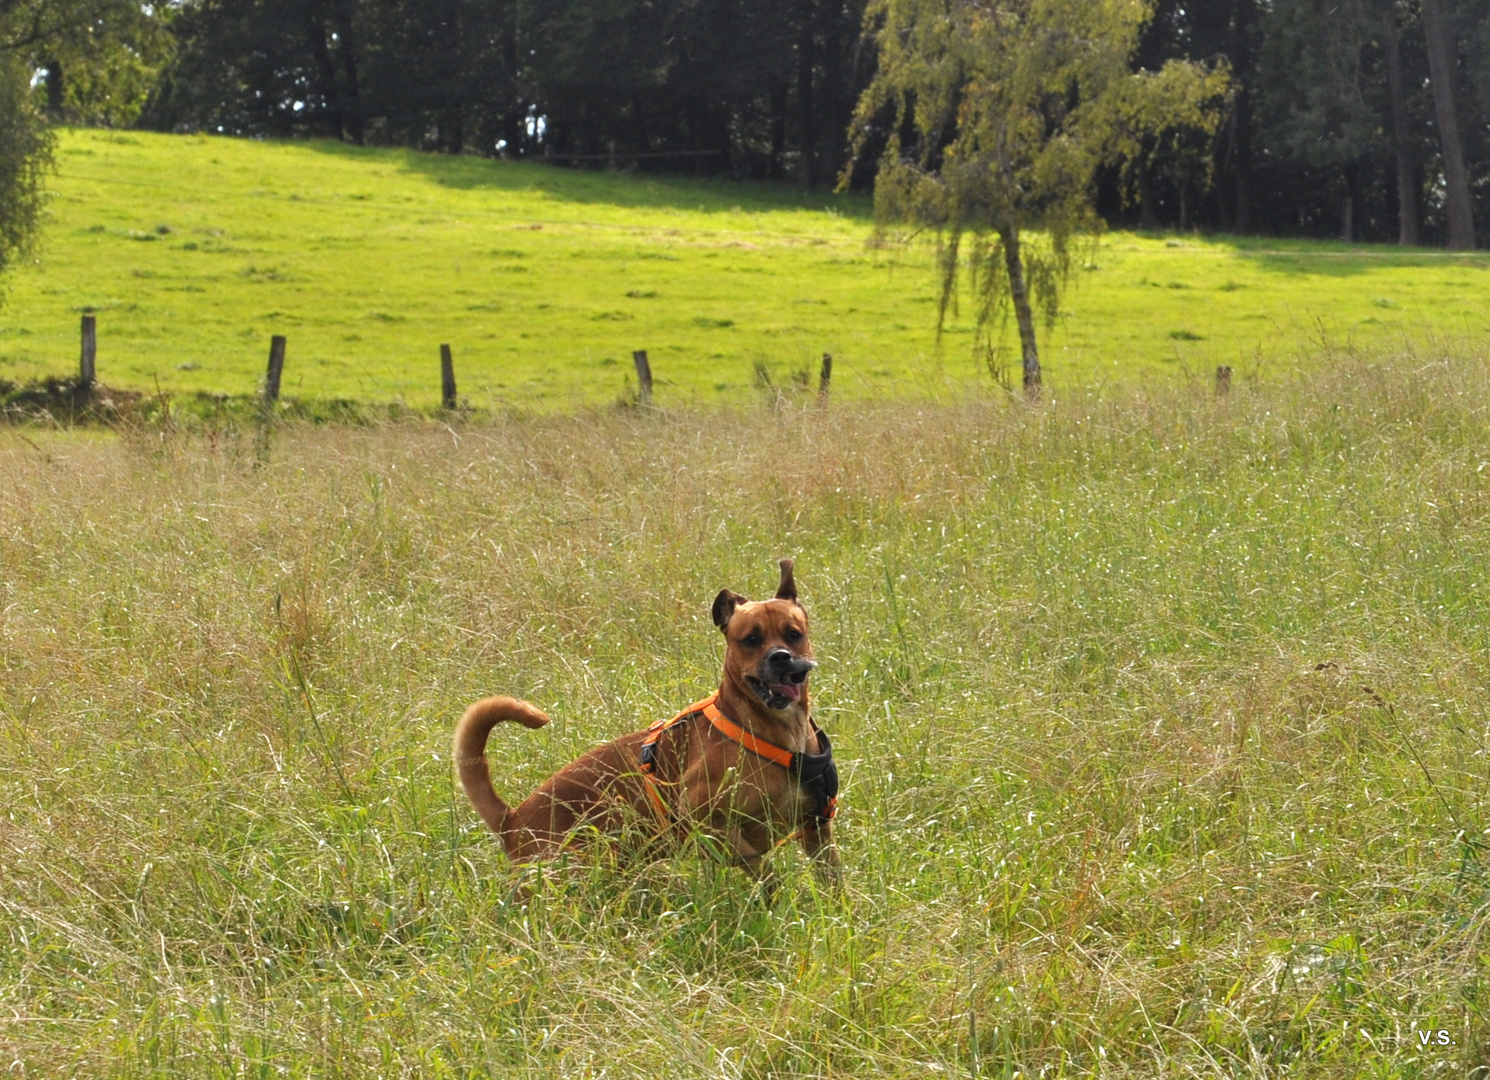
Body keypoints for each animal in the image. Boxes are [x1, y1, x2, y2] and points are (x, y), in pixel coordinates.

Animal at [447, 560, 846, 881]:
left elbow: (831, 882)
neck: (776, 734)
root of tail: (512, 822)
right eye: (750, 639)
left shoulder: (817, 830)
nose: (780, 657)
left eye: (794, 634)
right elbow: (761, 867)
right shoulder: (704, 820)